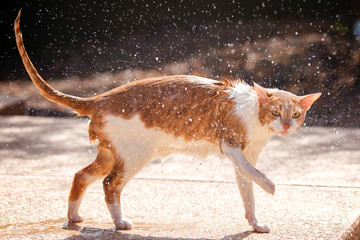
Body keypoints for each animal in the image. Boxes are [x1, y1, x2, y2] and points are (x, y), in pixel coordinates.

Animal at [15, 10, 322, 233]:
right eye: (276, 113)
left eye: (295, 115)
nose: (286, 125)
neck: (257, 122)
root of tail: (99, 98)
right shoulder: (230, 145)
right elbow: (255, 174)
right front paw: (271, 186)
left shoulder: (245, 157)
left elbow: (248, 188)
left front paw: (255, 224)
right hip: (135, 154)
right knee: (109, 184)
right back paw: (119, 223)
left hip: (111, 152)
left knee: (81, 175)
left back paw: (74, 217)